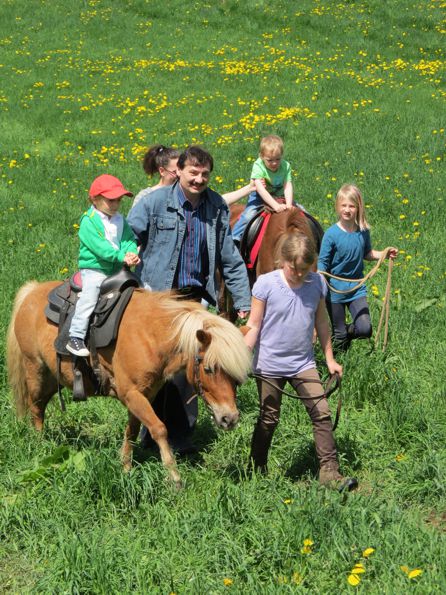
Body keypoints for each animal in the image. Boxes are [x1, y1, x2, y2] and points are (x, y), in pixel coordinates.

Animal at [6, 284, 251, 488]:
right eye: (209, 369)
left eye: (236, 376)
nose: (230, 418)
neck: (151, 335)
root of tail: (31, 290)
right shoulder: (131, 394)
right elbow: (159, 429)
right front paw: (174, 478)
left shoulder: (143, 395)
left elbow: (132, 431)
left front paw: (125, 468)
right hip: (36, 371)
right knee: (36, 409)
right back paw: (40, 447)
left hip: (51, 378)